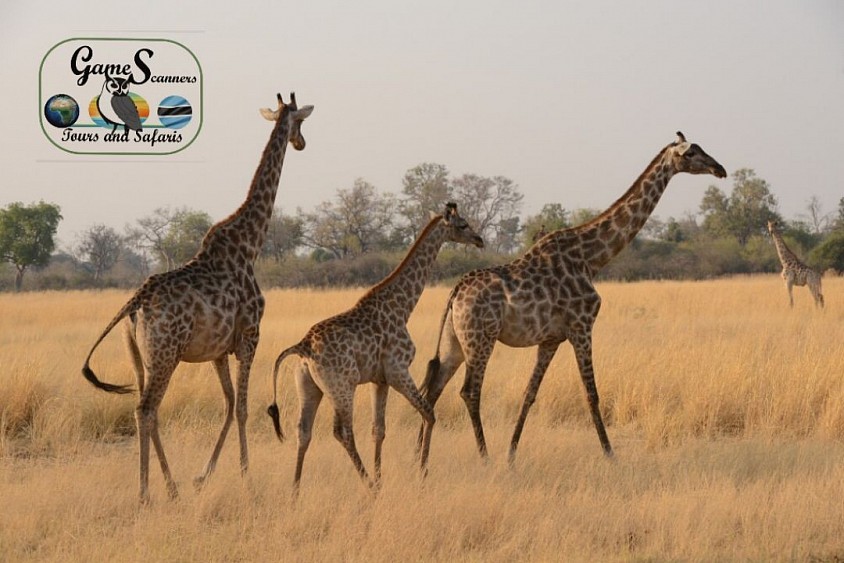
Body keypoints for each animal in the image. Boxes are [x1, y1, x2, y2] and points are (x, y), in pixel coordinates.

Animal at [81, 92, 314, 503]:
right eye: (300, 122)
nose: (301, 142)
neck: (250, 245)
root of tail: (134, 304)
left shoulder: (218, 350)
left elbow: (228, 404)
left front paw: (203, 477)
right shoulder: (250, 336)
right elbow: (242, 407)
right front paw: (247, 477)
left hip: (141, 356)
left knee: (148, 409)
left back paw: (172, 487)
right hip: (166, 353)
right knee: (145, 409)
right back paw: (146, 494)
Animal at [267, 203, 483, 487]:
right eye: (463, 224)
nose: (479, 240)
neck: (402, 307)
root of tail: (303, 347)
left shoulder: (379, 380)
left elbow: (378, 430)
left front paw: (383, 478)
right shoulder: (397, 370)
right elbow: (429, 413)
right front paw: (421, 473)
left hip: (309, 386)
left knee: (303, 430)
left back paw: (296, 489)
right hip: (342, 386)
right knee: (342, 432)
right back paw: (367, 484)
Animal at [420, 132, 726, 464]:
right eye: (691, 153)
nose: (720, 169)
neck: (591, 258)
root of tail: (454, 294)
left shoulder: (551, 339)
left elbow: (529, 394)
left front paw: (512, 456)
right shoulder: (582, 326)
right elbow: (592, 393)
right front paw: (610, 455)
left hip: (454, 342)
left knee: (433, 388)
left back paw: (420, 460)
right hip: (481, 338)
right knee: (469, 391)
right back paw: (483, 458)